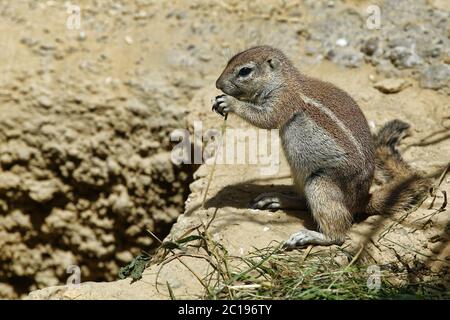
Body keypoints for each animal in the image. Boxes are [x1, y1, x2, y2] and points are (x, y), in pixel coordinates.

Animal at [211, 46, 428, 249]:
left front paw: (229, 102)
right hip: (299, 173)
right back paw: (277, 199)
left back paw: (309, 236)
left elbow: (266, 118)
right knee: (304, 202)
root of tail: (362, 200)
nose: (217, 84)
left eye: (245, 71)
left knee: (338, 233)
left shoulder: (283, 100)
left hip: (321, 183)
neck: (283, 80)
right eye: (230, 60)